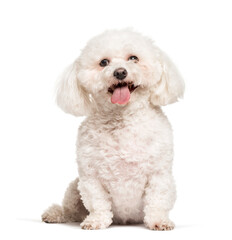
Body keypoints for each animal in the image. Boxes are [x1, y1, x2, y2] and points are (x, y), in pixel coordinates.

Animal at [41, 29, 183, 230]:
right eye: (103, 62)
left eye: (133, 58)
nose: (120, 72)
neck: (122, 118)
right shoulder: (90, 177)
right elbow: (98, 202)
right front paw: (96, 221)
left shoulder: (159, 174)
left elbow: (157, 200)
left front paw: (158, 221)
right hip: (74, 188)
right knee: (70, 210)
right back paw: (55, 214)